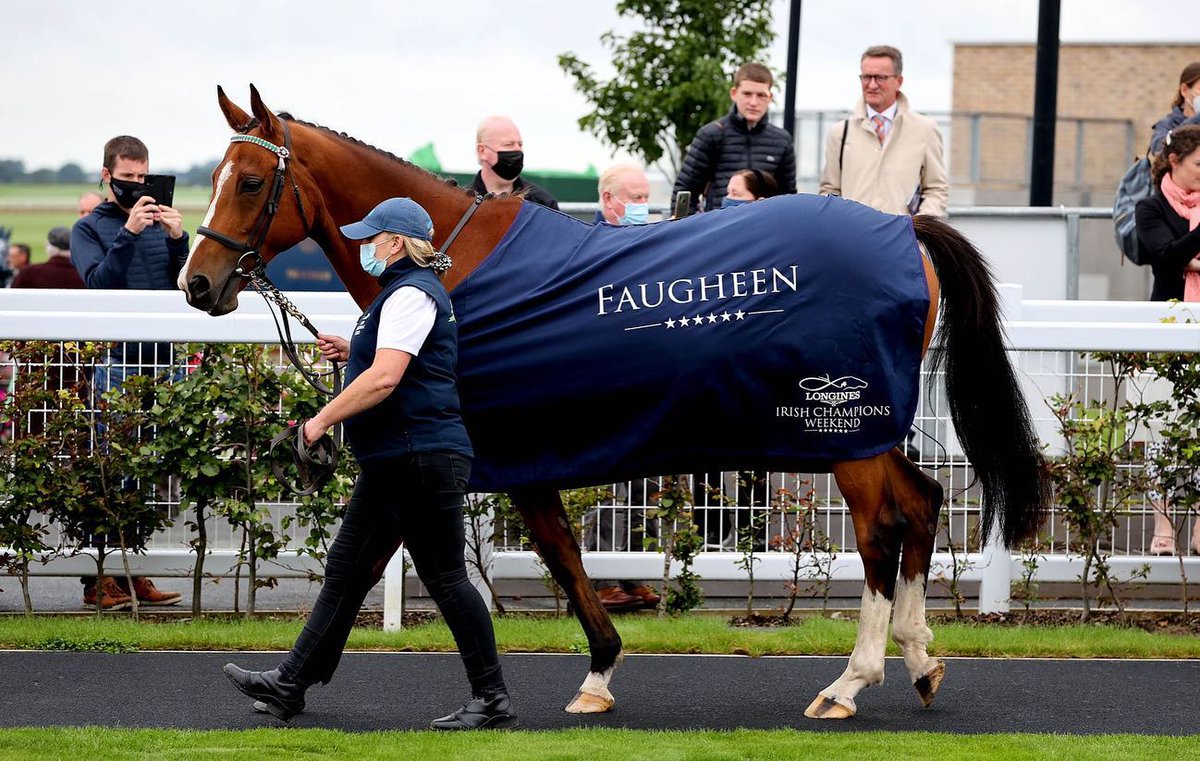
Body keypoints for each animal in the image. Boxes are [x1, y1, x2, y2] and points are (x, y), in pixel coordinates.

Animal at [177, 85, 1051, 720]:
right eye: (213, 179)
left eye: (249, 181)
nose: (197, 284)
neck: (450, 257)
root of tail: (906, 233)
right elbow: (526, 553)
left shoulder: (488, 455)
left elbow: (539, 554)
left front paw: (595, 669)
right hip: (867, 428)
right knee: (924, 502)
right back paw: (920, 657)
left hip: (841, 430)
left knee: (880, 531)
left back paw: (849, 681)